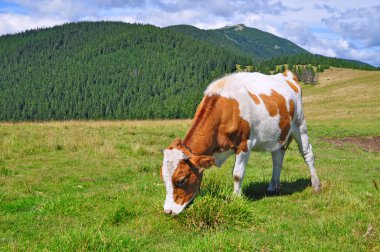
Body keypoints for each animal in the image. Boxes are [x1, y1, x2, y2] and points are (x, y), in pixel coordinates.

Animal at [160, 70, 320, 215]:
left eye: (181, 180)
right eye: (164, 178)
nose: (167, 211)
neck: (226, 109)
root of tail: (287, 75)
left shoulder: (244, 144)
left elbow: (237, 174)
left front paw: (236, 198)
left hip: (300, 124)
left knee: (308, 154)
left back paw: (316, 185)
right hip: (279, 134)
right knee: (277, 158)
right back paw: (273, 187)